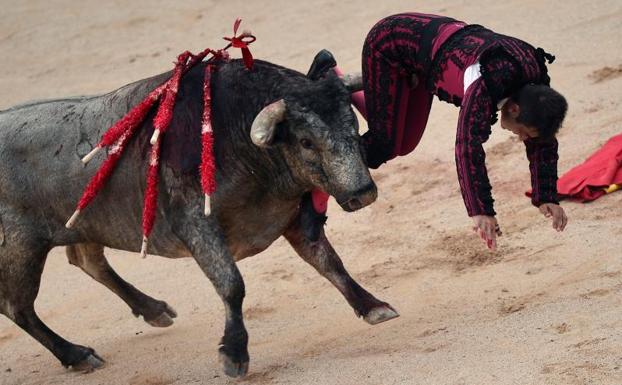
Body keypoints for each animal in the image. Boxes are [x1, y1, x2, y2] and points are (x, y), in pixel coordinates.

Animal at [0, 49, 400, 376]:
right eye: (305, 141)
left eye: (355, 125)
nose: (362, 193)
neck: (239, 139)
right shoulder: (196, 224)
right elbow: (232, 283)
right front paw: (234, 355)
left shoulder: (292, 215)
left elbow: (329, 262)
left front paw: (373, 307)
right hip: (21, 248)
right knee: (18, 307)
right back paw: (77, 354)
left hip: (83, 223)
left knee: (86, 260)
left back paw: (153, 310)